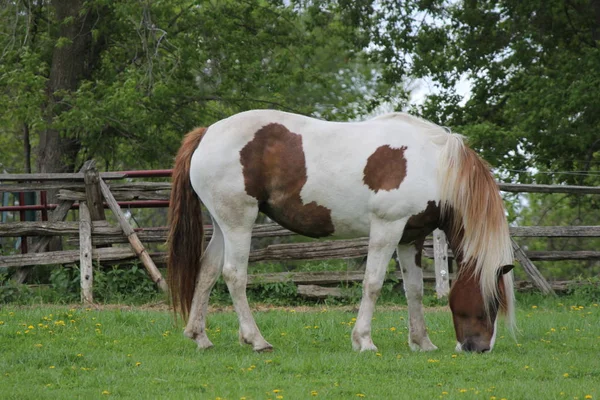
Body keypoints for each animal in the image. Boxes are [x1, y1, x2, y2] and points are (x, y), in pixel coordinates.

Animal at [168, 109, 516, 354]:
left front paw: (422, 342)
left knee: (208, 270)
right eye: (491, 302)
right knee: (234, 274)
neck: (433, 166)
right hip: (239, 222)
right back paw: (257, 340)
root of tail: (207, 133)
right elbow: (373, 284)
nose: (479, 348)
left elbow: (414, 290)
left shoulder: (410, 237)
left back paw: (200, 337)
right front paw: (364, 341)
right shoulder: (387, 228)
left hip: (222, 224)